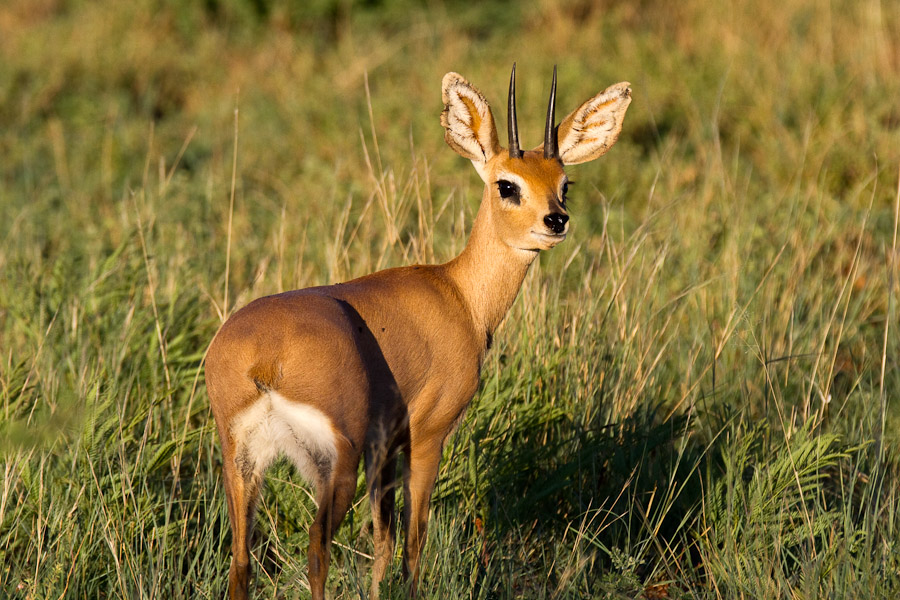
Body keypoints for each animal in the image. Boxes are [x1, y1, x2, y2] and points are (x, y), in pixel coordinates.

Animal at [207, 63, 628, 596]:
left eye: (564, 183)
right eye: (507, 185)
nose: (556, 221)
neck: (460, 297)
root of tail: (260, 360)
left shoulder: (386, 450)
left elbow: (383, 544)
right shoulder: (427, 436)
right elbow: (412, 544)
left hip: (242, 462)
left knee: (241, 559)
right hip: (335, 462)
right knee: (317, 549)